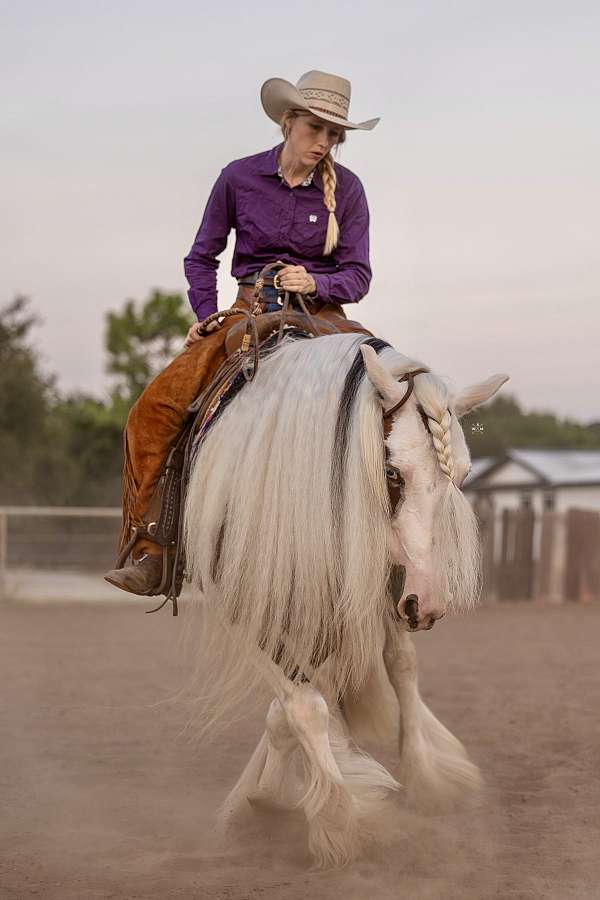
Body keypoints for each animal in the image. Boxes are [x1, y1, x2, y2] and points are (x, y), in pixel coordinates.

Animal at [182, 331, 508, 867]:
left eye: (461, 476)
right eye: (393, 473)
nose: (428, 605)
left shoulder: (368, 588)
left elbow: (395, 667)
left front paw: (425, 775)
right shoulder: (242, 596)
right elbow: (303, 705)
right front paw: (336, 819)